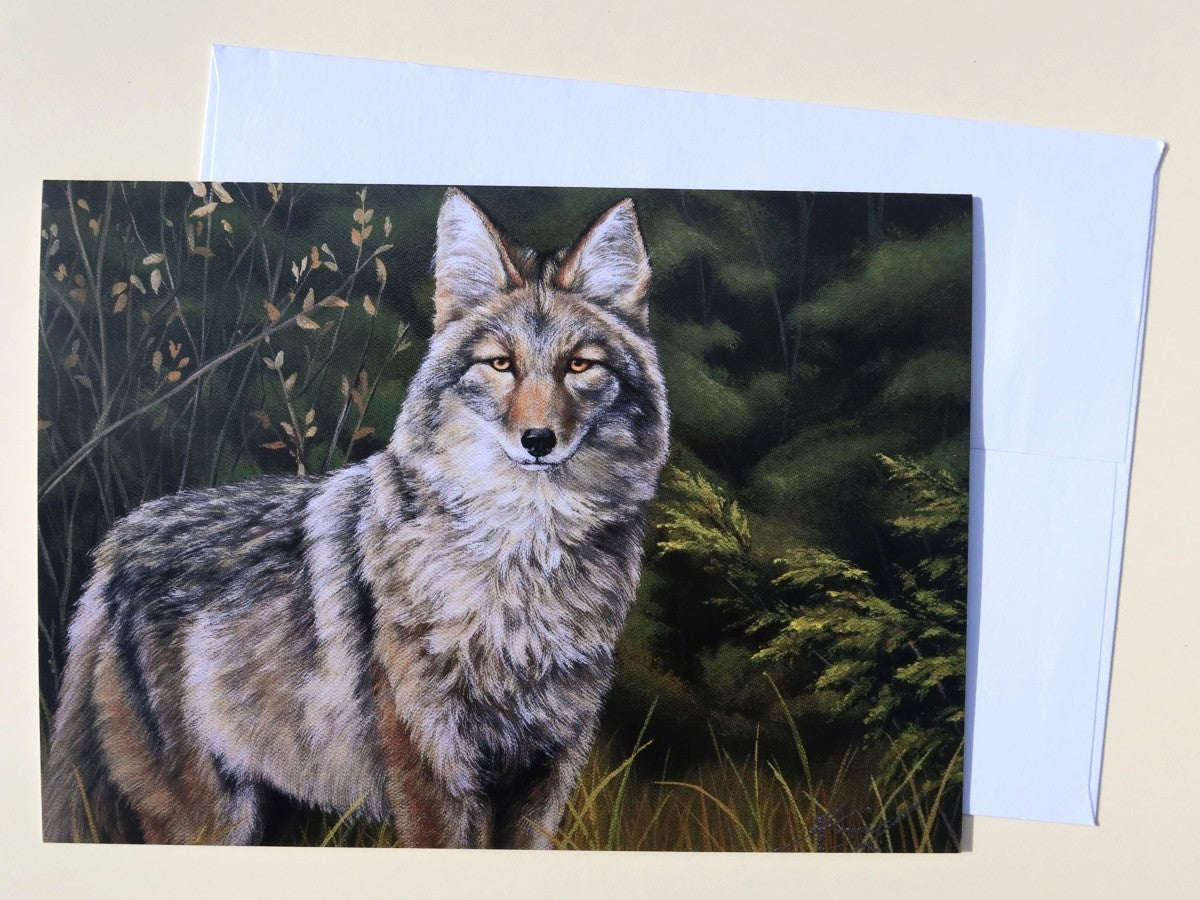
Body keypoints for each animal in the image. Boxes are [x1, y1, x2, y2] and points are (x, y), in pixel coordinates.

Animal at [42, 188, 670, 848]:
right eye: (501, 364)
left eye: (579, 366)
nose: (539, 440)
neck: (522, 570)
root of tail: (118, 542)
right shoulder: (433, 778)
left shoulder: (542, 779)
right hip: (208, 824)